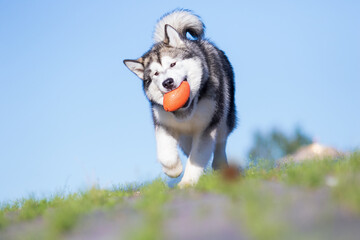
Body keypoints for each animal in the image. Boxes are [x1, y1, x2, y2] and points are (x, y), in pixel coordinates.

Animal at [124, 9, 236, 188]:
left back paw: (220, 165)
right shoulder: (164, 125)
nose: (168, 82)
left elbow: (197, 156)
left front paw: (187, 182)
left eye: (172, 64)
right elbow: (167, 156)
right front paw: (174, 170)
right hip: (184, 137)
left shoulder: (207, 128)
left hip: (225, 115)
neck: (188, 110)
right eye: (156, 74)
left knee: (221, 141)